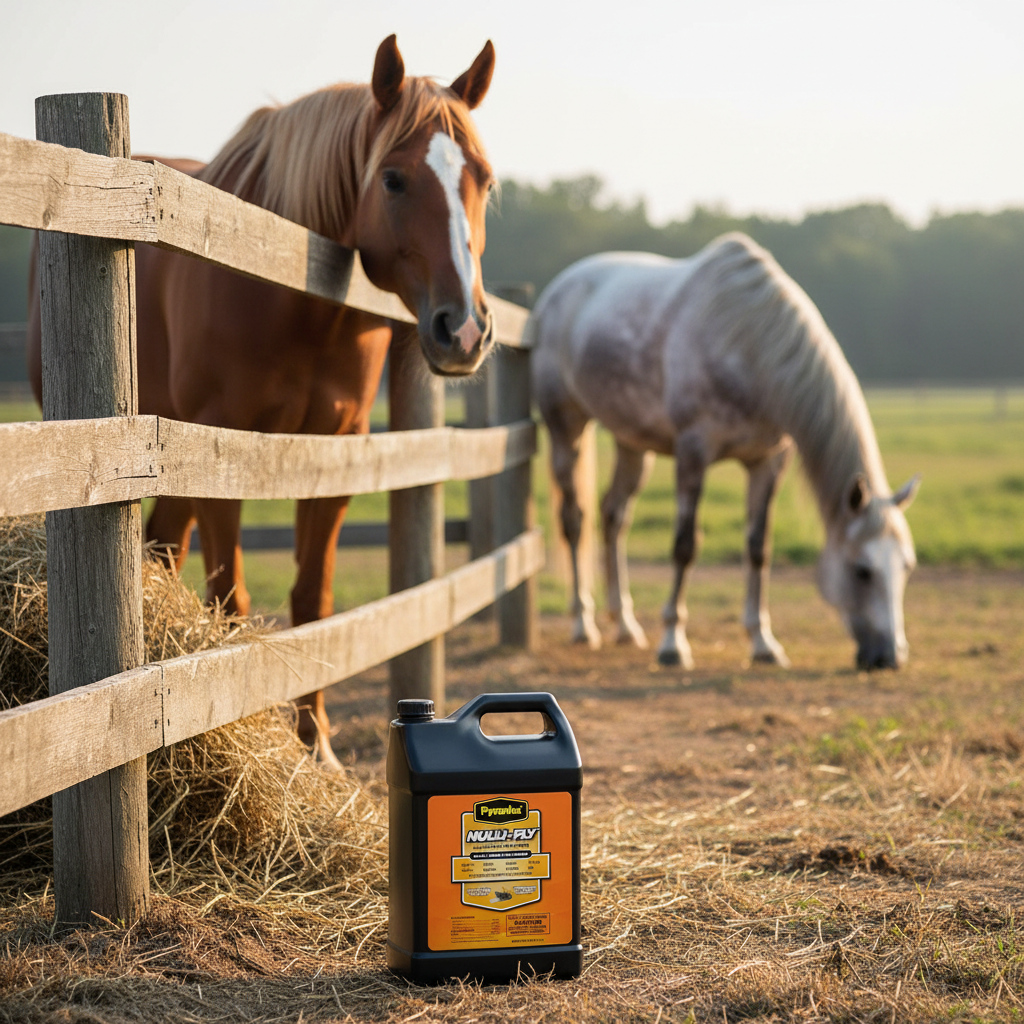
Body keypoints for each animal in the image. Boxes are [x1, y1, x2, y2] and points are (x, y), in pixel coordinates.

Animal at [28, 36, 498, 766]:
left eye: (485, 179)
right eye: (393, 179)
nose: (466, 330)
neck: (289, 299)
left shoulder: (333, 453)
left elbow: (313, 598)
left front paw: (317, 744)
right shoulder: (222, 452)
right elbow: (232, 600)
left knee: (164, 551)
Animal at [530, 233, 920, 671]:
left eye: (907, 566)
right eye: (861, 571)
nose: (890, 657)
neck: (747, 343)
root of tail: (560, 287)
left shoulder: (768, 462)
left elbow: (758, 549)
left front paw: (763, 643)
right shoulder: (693, 453)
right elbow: (685, 546)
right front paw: (673, 644)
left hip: (632, 442)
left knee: (613, 516)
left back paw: (626, 626)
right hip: (566, 426)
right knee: (574, 519)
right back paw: (584, 624)